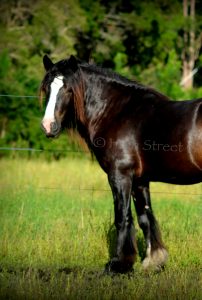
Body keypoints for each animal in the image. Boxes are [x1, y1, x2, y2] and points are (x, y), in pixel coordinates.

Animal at [39, 54, 202, 274]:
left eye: (68, 88)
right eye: (48, 88)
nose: (48, 126)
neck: (117, 112)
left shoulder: (120, 175)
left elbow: (122, 217)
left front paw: (119, 263)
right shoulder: (140, 180)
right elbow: (145, 217)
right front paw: (152, 261)